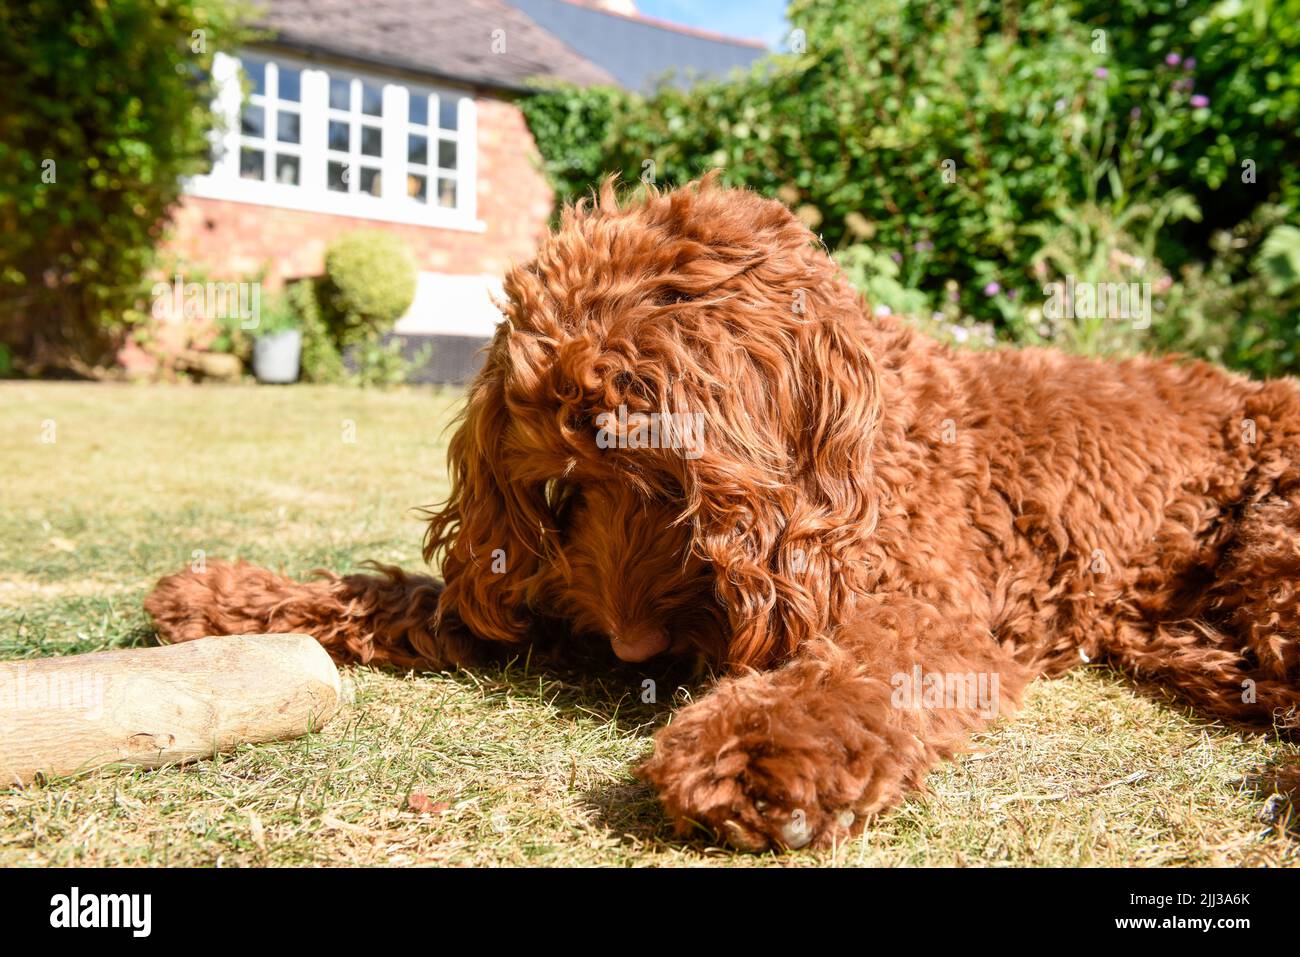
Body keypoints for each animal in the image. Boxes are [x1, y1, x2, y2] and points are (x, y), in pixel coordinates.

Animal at [147, 178, 1300, 852]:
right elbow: (423, 599)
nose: (625, 650)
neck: (870, 450)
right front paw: (232, 600)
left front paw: (758, 751)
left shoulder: (929, 610)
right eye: (563, 484)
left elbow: (853, 675)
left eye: (674, 483)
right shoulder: (548, 592)